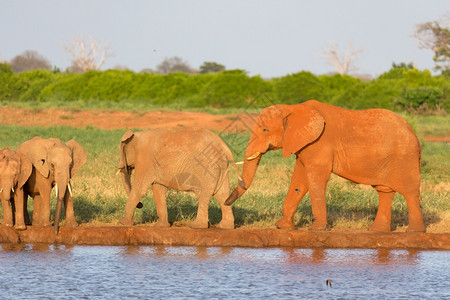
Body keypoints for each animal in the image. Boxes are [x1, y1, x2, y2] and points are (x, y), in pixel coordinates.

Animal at [225, 100, 426, 232]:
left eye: (265, 130)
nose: (226, 202)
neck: (294, 108)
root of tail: (414, 134)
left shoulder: (320, 142)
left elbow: (315, 179)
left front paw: (317, 230)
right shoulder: (304, 144)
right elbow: (299, 179)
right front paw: (282, 227)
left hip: (404, 156)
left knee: (409, 191)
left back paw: (414, 232)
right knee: (384, 191)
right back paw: (376, 230)